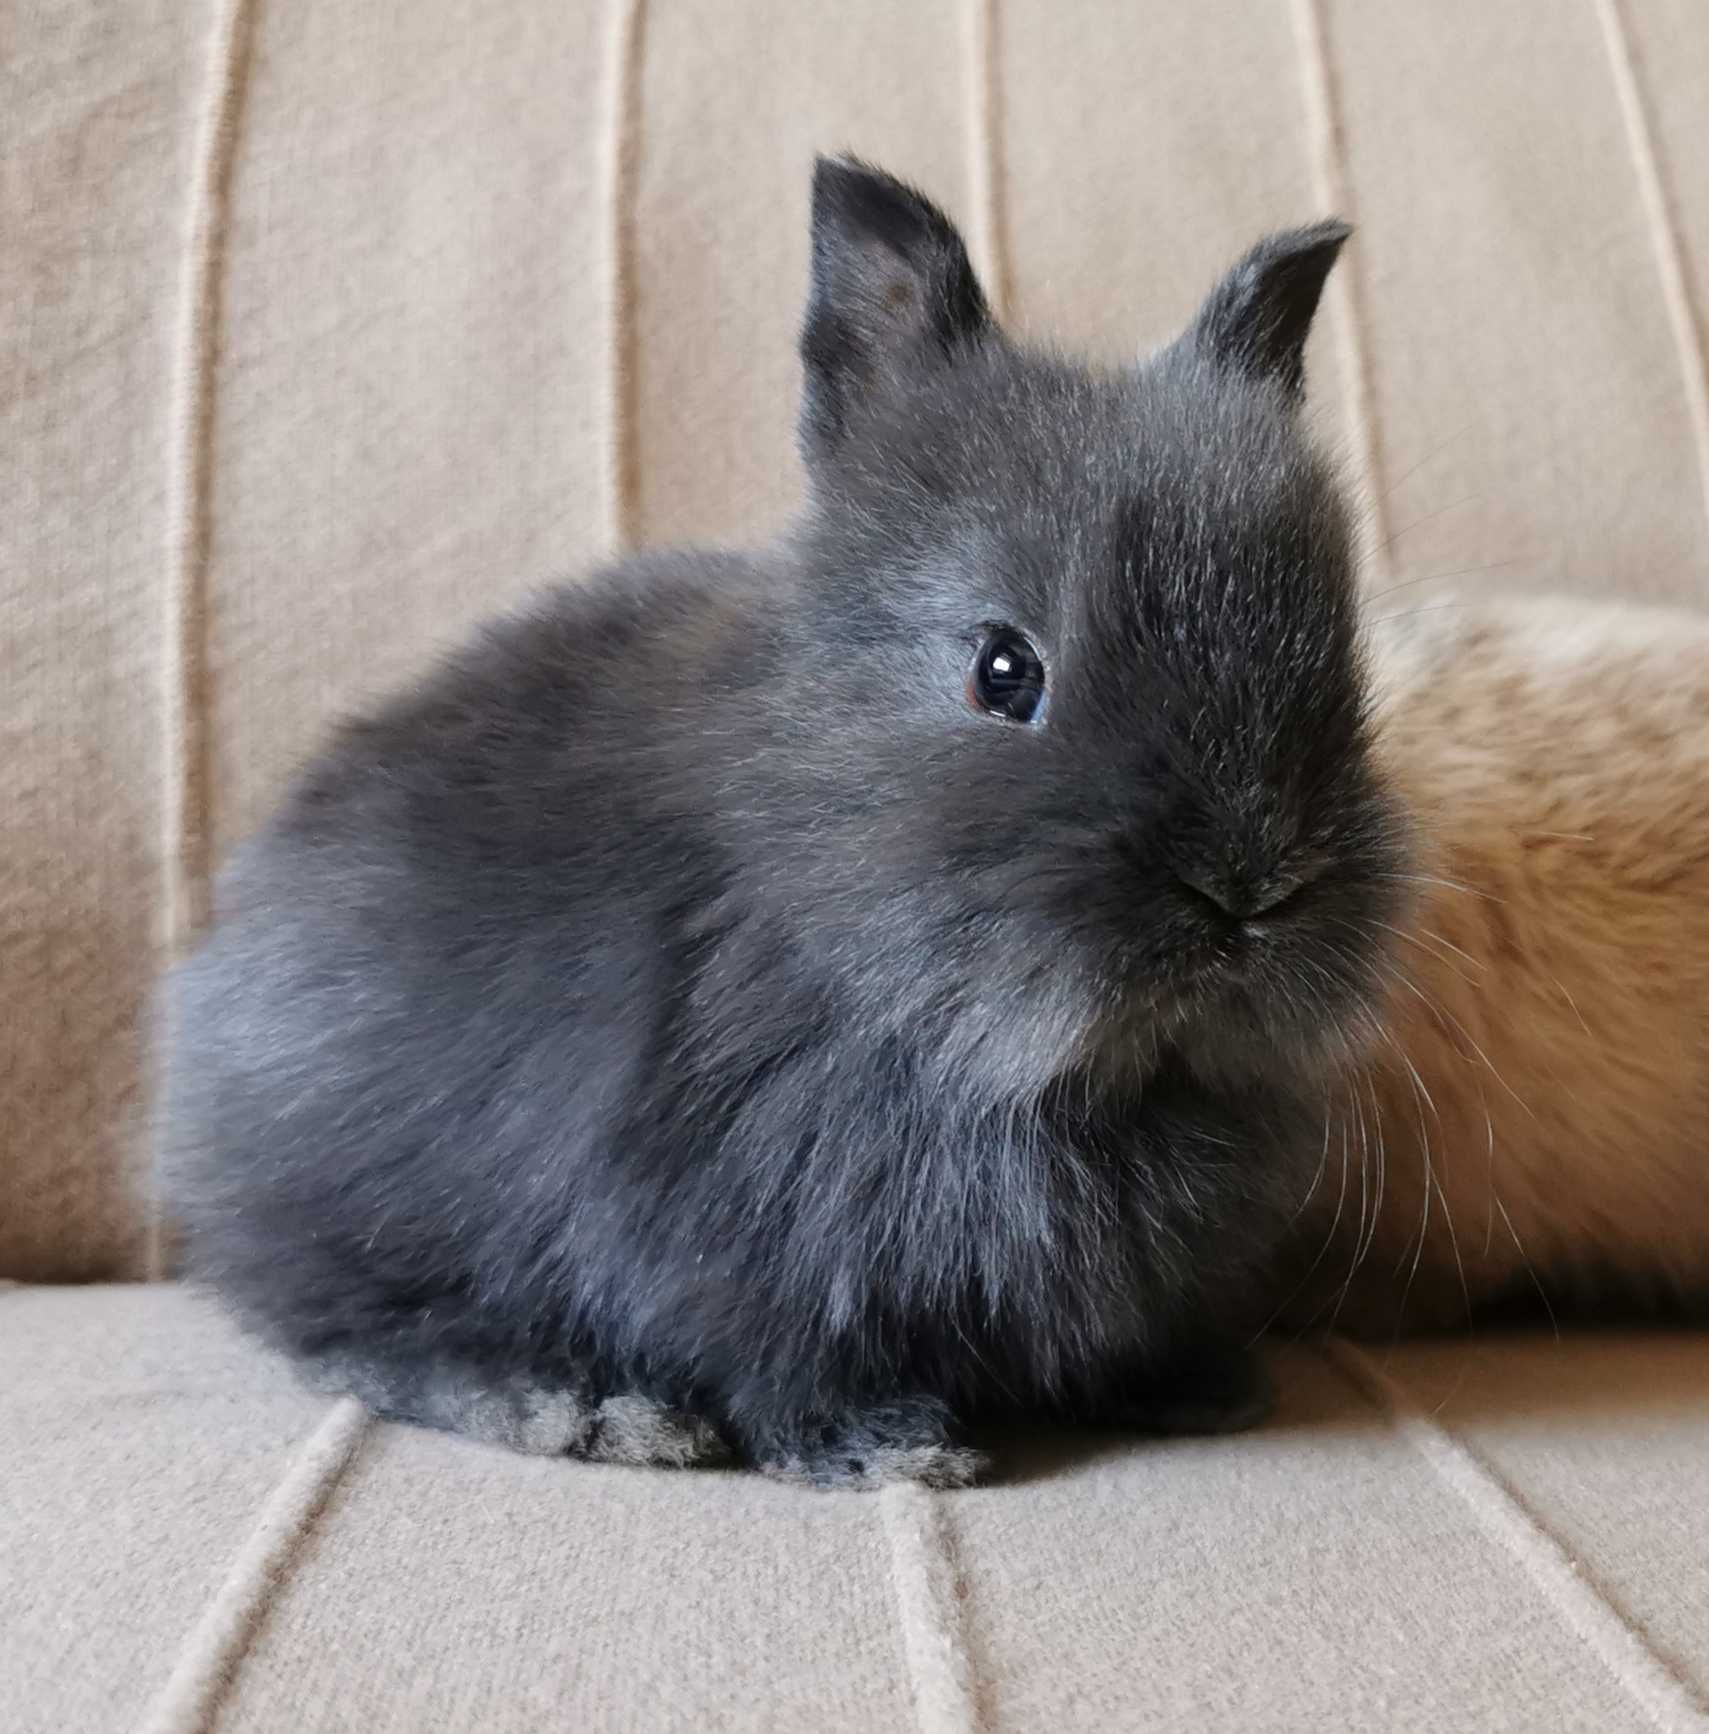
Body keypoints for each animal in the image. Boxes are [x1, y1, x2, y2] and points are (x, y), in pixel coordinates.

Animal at [166, 159, 1407, 1491]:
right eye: (1002, 671)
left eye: (1339, 664)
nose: (1249, 886)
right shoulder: (718, 1219)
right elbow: (778, 1356)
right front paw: (885, 1449)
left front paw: (1200, 1391)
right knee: (353, 1334)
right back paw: (575, 1406)